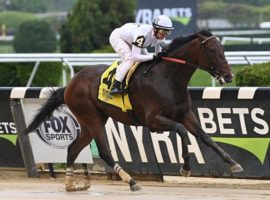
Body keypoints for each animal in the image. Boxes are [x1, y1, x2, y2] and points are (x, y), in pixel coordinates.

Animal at [23, 29, 243, 191]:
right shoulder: (153, 121)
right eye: (212, 50)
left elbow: (205, 137)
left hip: (91, 121)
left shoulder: (185, 114)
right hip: (90, 117)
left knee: (72, 149)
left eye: (223, 48)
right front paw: (186, 167)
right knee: (104, 151)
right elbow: (181, 131)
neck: (168, 77)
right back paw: (130, 180)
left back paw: (71, 184)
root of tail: (70, 84)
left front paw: (233, 162)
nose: (229, 76)